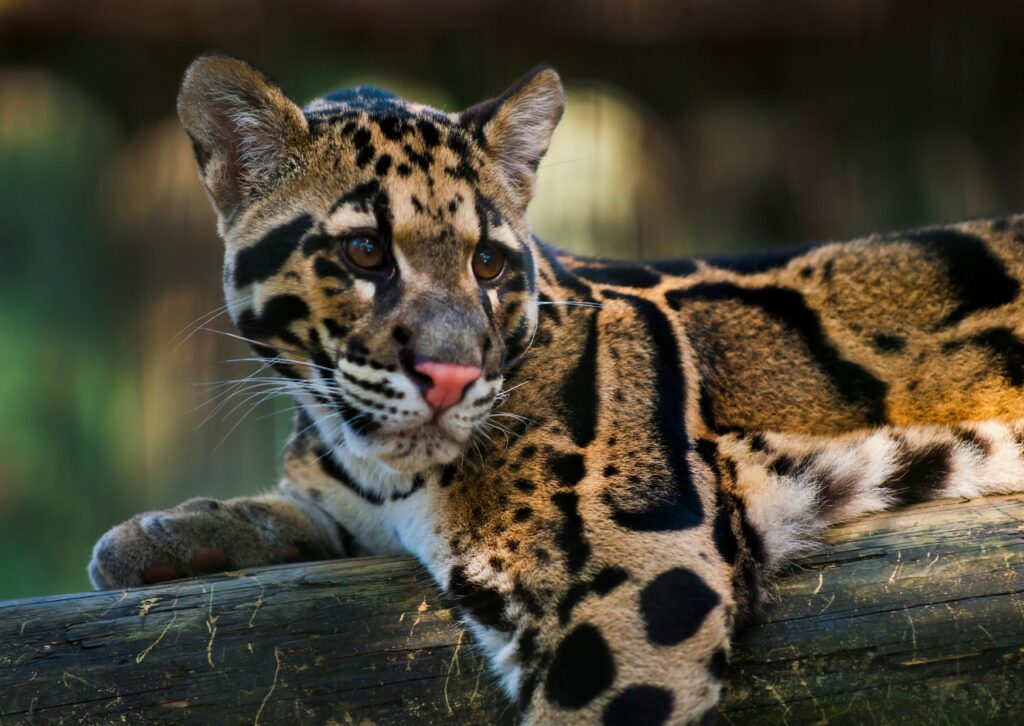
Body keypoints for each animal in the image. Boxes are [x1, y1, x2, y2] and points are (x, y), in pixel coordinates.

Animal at [88, 54, 1024, 724]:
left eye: (489, 264)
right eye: (363, 253)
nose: (452, 373)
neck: (374, 463)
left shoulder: (647, 576)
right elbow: (304, 512)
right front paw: (178, 533)